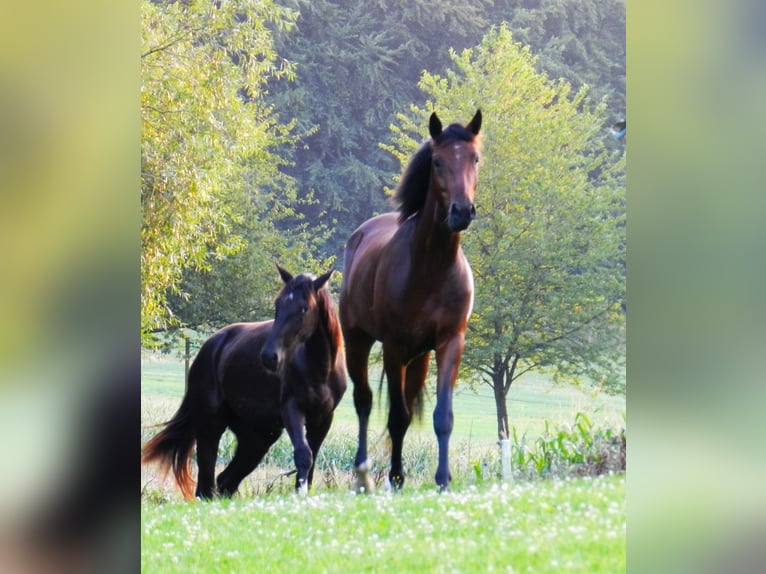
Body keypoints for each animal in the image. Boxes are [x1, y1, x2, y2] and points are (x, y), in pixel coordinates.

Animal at [142, 266, 348, 500]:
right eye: (277, 304)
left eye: (304, 308)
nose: (269, 357)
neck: (319, 369)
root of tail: (210, 347)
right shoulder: (292, 410)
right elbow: (304, 455)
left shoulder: (323, 419)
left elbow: (311, 458)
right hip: (210, 424)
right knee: (206, 481)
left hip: (258, 437)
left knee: (226, 480)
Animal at [340, 110, 484, 492]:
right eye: (437, 161)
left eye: (475, 159)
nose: (461, 212)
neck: (432, 269)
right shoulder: (394, 347)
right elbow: (397, 416)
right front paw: (396, 477)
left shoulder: (450, 343)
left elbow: (442, 416)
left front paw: (443, 479)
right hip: (358, 341)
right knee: (364, 401)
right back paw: (363, 472)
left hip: (419, 359)